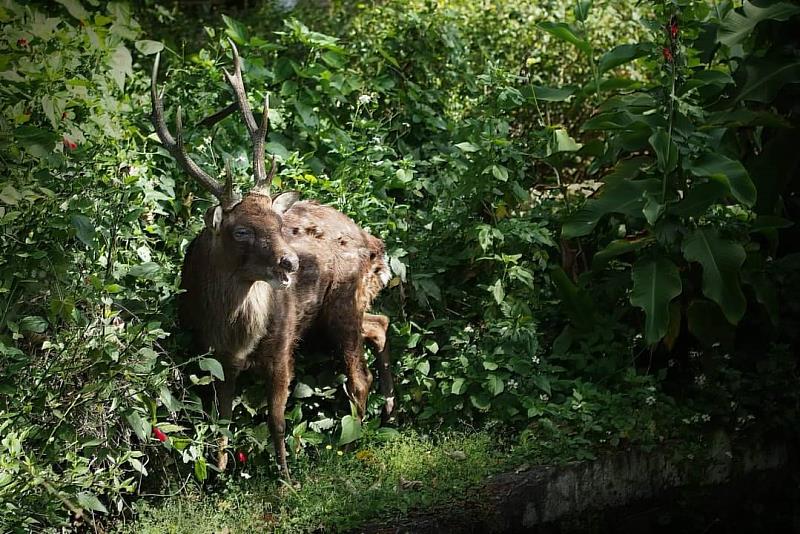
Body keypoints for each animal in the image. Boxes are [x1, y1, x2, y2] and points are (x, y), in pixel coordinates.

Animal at [150, 40, 394, 478]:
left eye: (278, 223)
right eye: (241, 231)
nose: (290, 263)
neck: (233, 331)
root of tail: (375, 245)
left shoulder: (281, 346)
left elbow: (277, 417)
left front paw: (284, 478)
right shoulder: (215, 356)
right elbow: (222, 414)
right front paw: (220, 471)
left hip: (343, 301)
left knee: (358, 375)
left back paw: (354, 442)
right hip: (339, 311)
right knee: (380, 323)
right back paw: (388, 410)